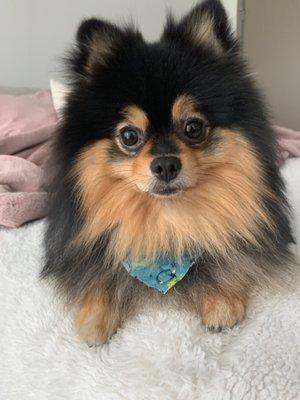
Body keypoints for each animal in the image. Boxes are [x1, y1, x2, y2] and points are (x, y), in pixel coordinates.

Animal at [41, 0, 292, 344]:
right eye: (129, 136)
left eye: (193, 127)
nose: (165, 165)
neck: (167, 225)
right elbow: (99, 278)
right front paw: (95, 315)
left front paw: (222, 299)